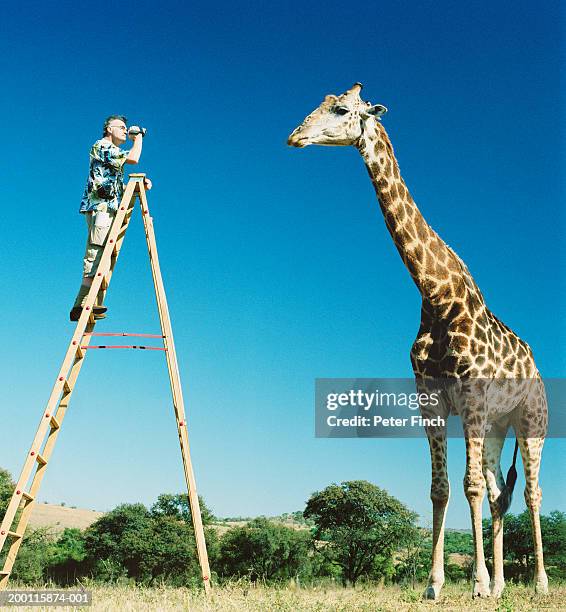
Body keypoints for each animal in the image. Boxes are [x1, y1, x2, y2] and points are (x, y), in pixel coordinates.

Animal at [290, 83, 548, 600]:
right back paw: (503, 586)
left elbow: (467, 485)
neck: (435, 295)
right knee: (499, 493)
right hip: (498, 426)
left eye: (342, 110)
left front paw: (474, 583)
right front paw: (438, 584)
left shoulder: (471, 398)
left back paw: (539, 583)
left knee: (531, 492)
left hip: (532, 421)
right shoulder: (431, 401)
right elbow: (441, 488)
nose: (295, 136)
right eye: (321, 102)